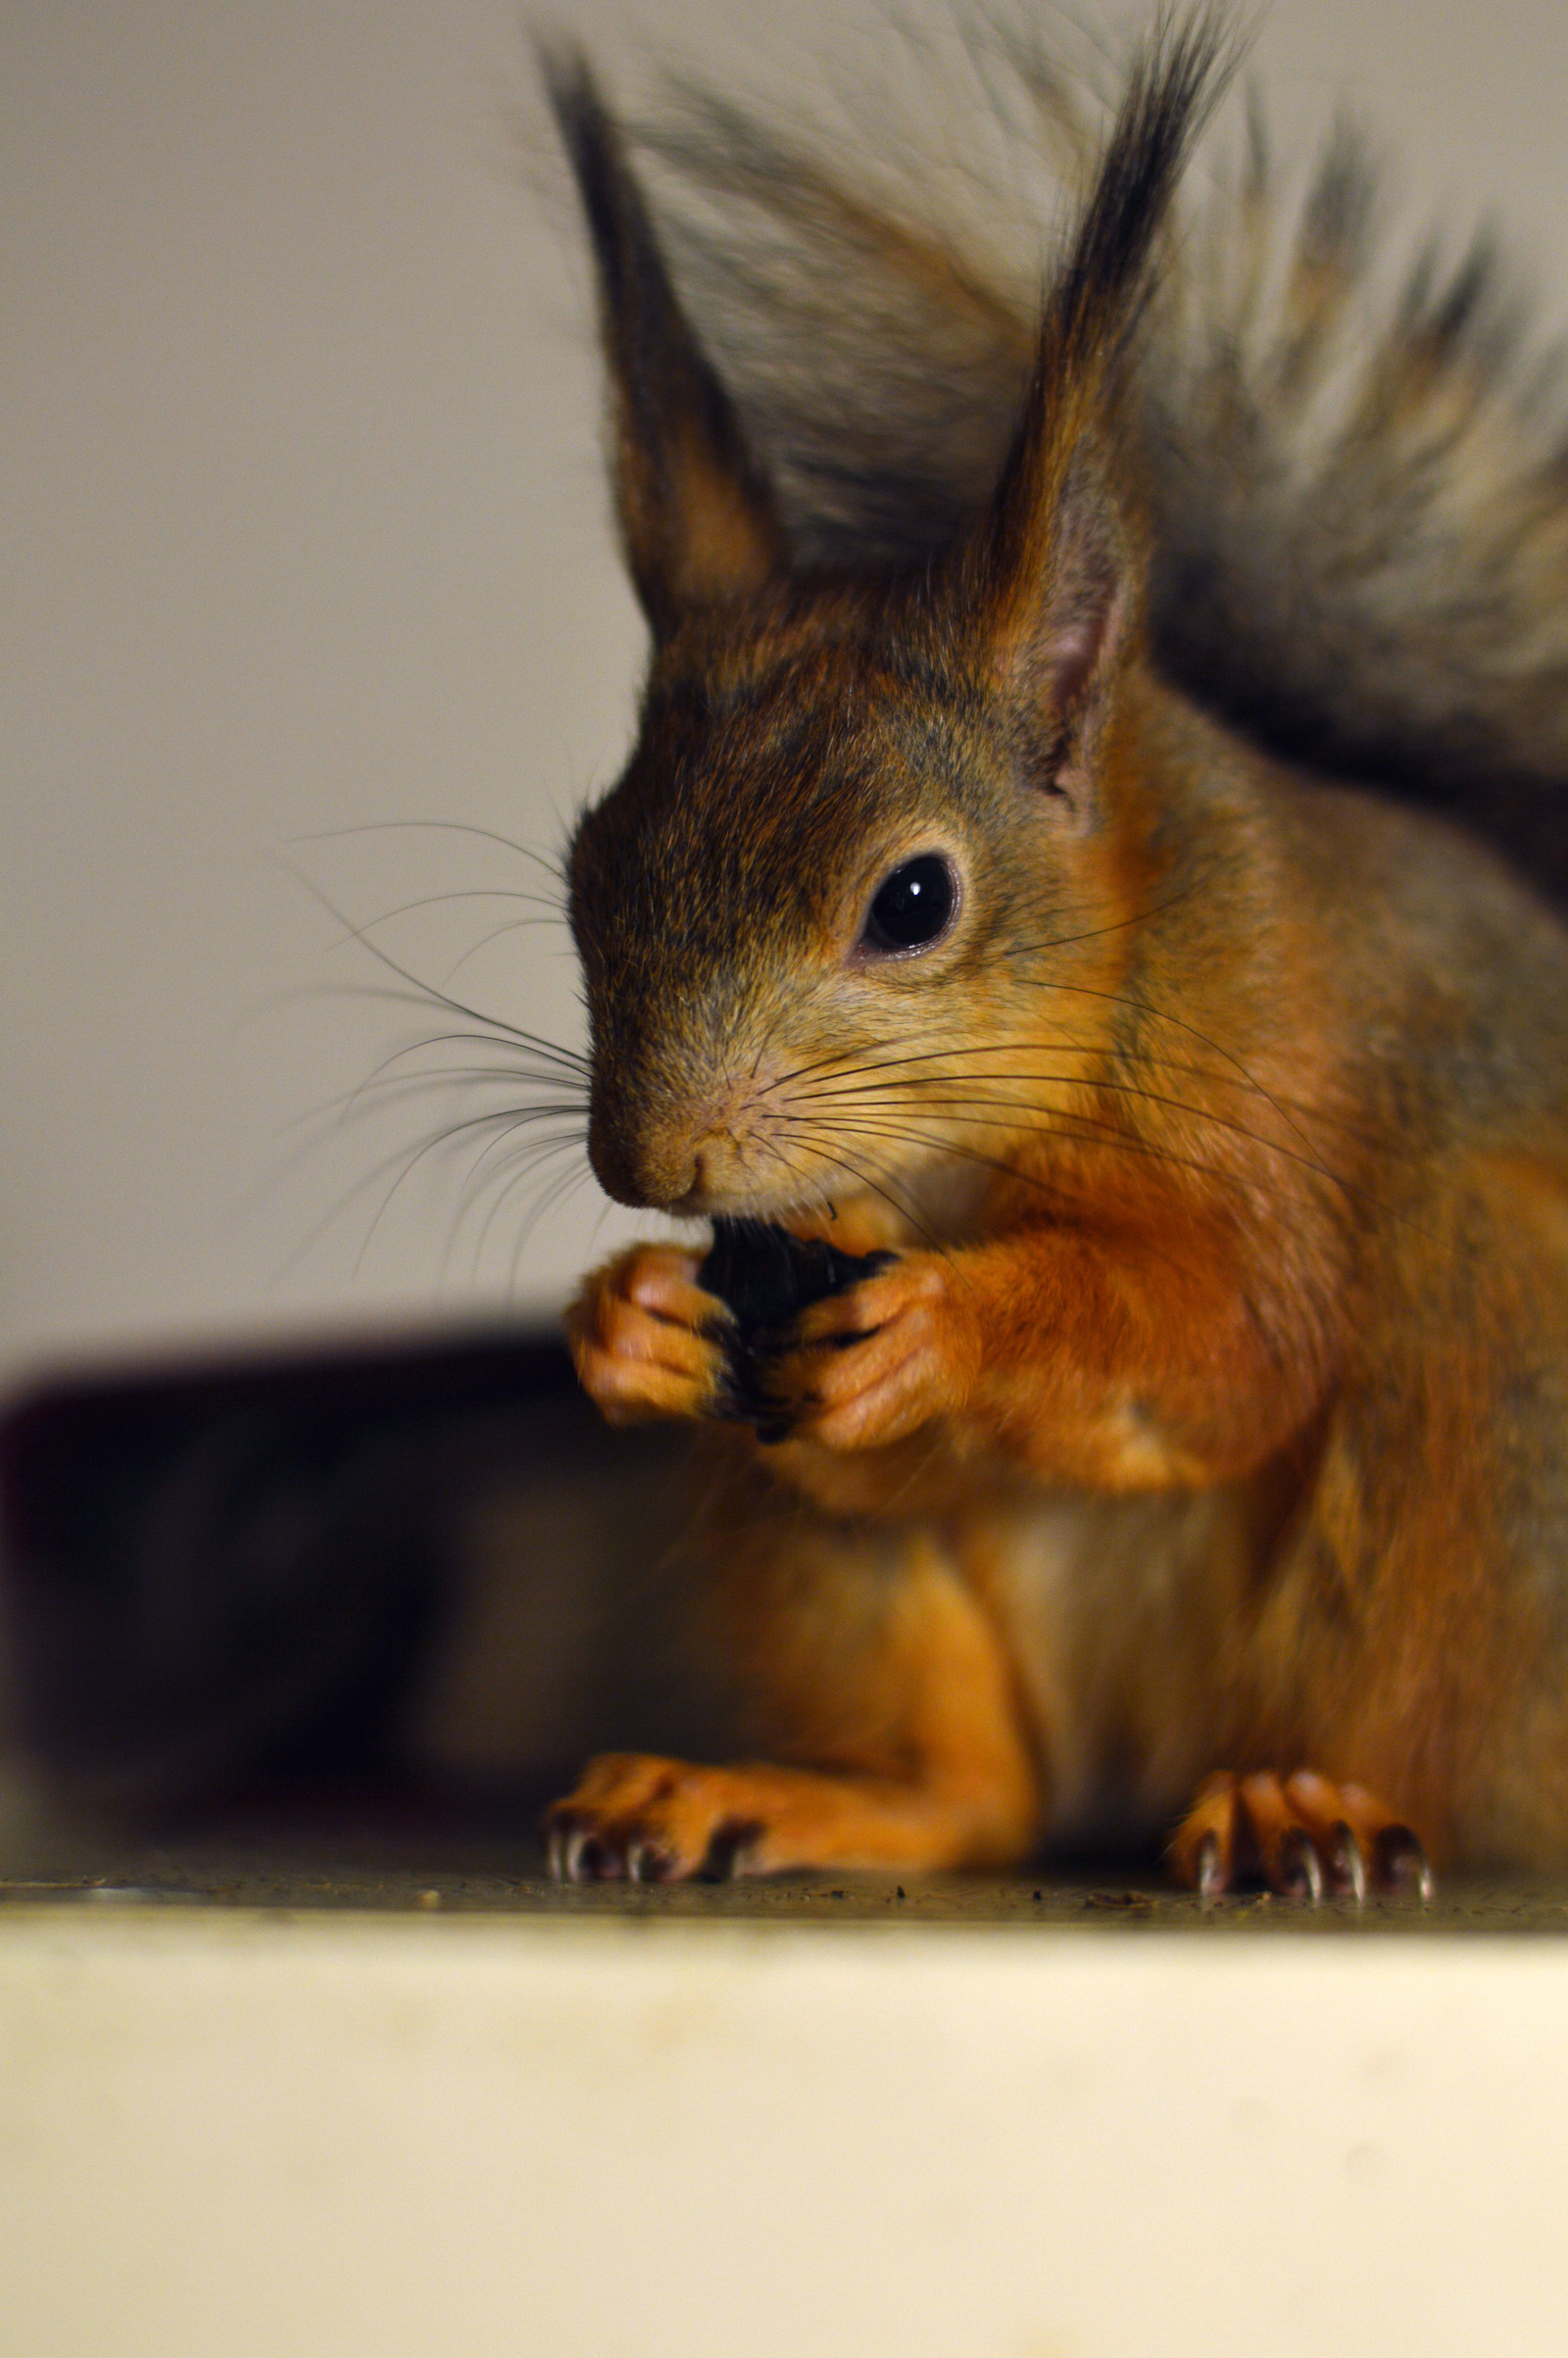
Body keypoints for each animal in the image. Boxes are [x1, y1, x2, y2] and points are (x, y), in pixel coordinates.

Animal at [527, 14, 1568, 1895]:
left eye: (912, 901)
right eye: (588, 868)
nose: (655, 1165)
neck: (961, 1146)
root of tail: (1150, 1765)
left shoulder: (1274, 1057)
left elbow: (1237, 1337)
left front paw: (952, 1322)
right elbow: (858, 1452)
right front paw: (624, 1317)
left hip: (1488, 1357)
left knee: (1412, 1714)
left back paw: (1310, 1799)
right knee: (976, 1791)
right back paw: (786, 1794)